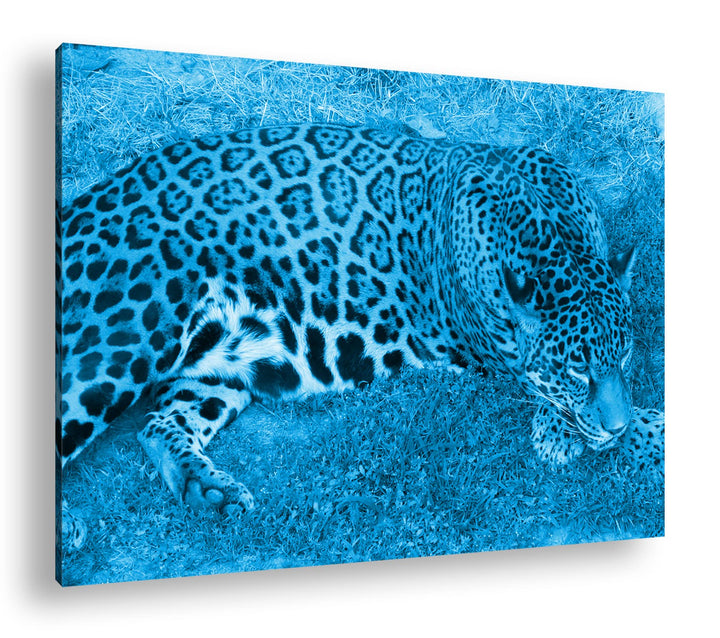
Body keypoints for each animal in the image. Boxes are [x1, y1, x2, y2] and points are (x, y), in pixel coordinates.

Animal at [57, 123, 664, 525]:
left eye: (625, 355)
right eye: (576, 371)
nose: (614, 427)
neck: (552, 233)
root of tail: (75, 208)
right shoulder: (498, 358)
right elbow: (590, 407)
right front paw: (595, 433)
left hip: (222, 367)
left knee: (158, 424)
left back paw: (209, 491)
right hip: (122, 342)